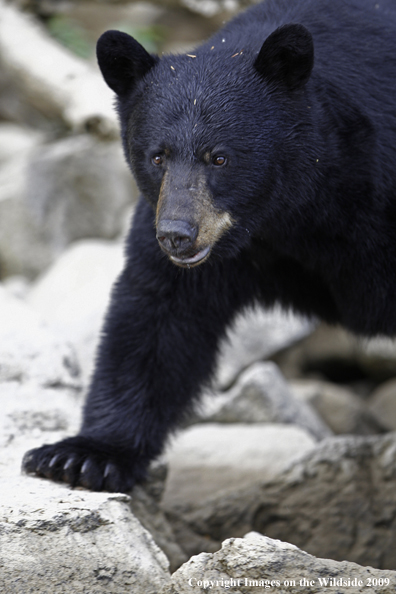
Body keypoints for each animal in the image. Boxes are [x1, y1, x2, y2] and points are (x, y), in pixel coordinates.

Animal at [24, 0, 396, 490]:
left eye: (220, 157)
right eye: (157, 156)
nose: (177, 235)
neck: (289, 215)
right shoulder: (182, 232)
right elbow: (157, 317)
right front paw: (83, 455)